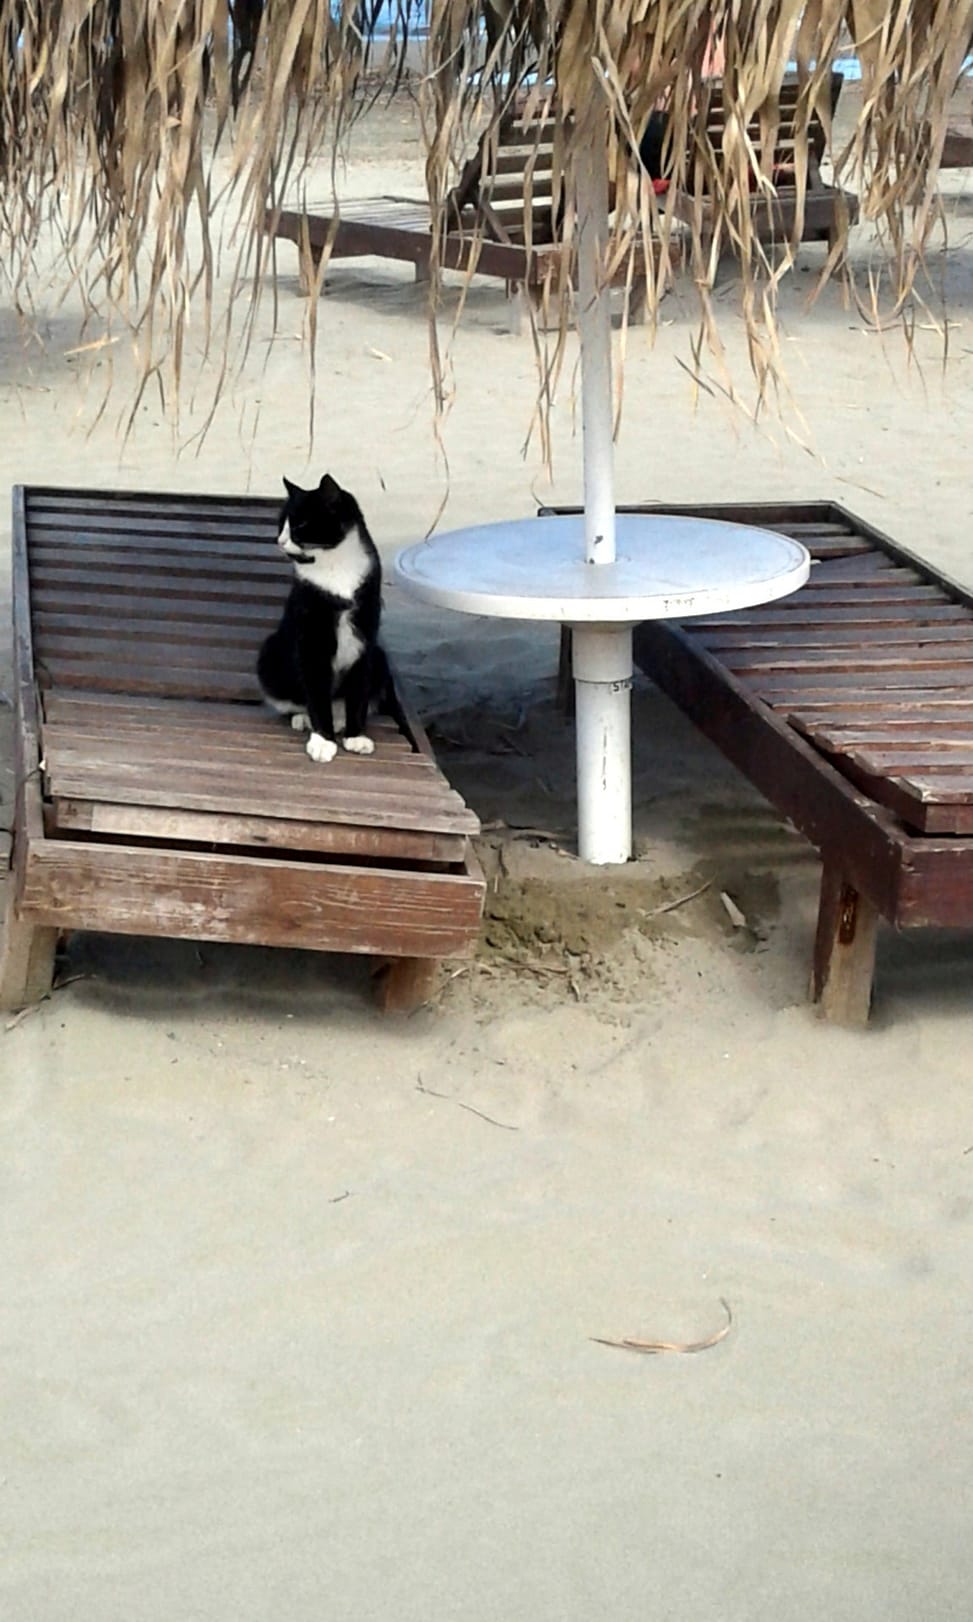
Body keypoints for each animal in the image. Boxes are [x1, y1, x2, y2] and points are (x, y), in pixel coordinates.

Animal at [257, 473, 402, 764]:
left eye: (300, 524)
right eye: (281, 524)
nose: (280, 541)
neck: (336, 568)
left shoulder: (364, 638)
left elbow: (358, 692)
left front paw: (355, 736)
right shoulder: (312, 640)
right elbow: (315, 694)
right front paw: (323, 741)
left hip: (380, 658)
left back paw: (339, 721)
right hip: (271, 655)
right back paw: (304, 719)